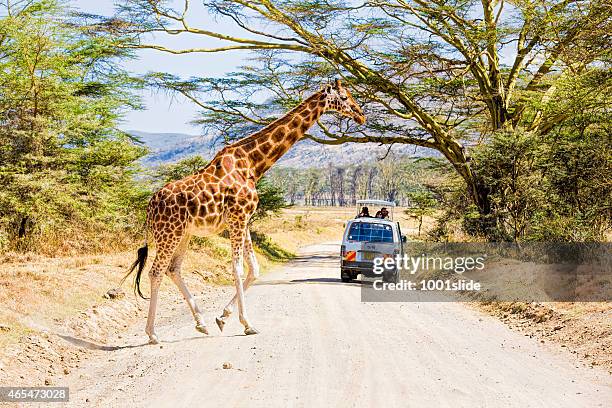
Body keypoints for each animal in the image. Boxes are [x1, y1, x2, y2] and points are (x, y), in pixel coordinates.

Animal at [122, 79, 366, 344]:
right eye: (344, 97)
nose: (361, 115)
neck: (252, 165)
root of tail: (150, 205)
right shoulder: (237, 217)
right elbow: (237, 269)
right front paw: (247, 324)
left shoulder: (245, 220)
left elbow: (254, 269)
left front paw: (222, 317)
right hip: (169, 233)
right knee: (156, 272)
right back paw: (152, 333)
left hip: (183, 233)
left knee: (172, 269)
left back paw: (201, 323)